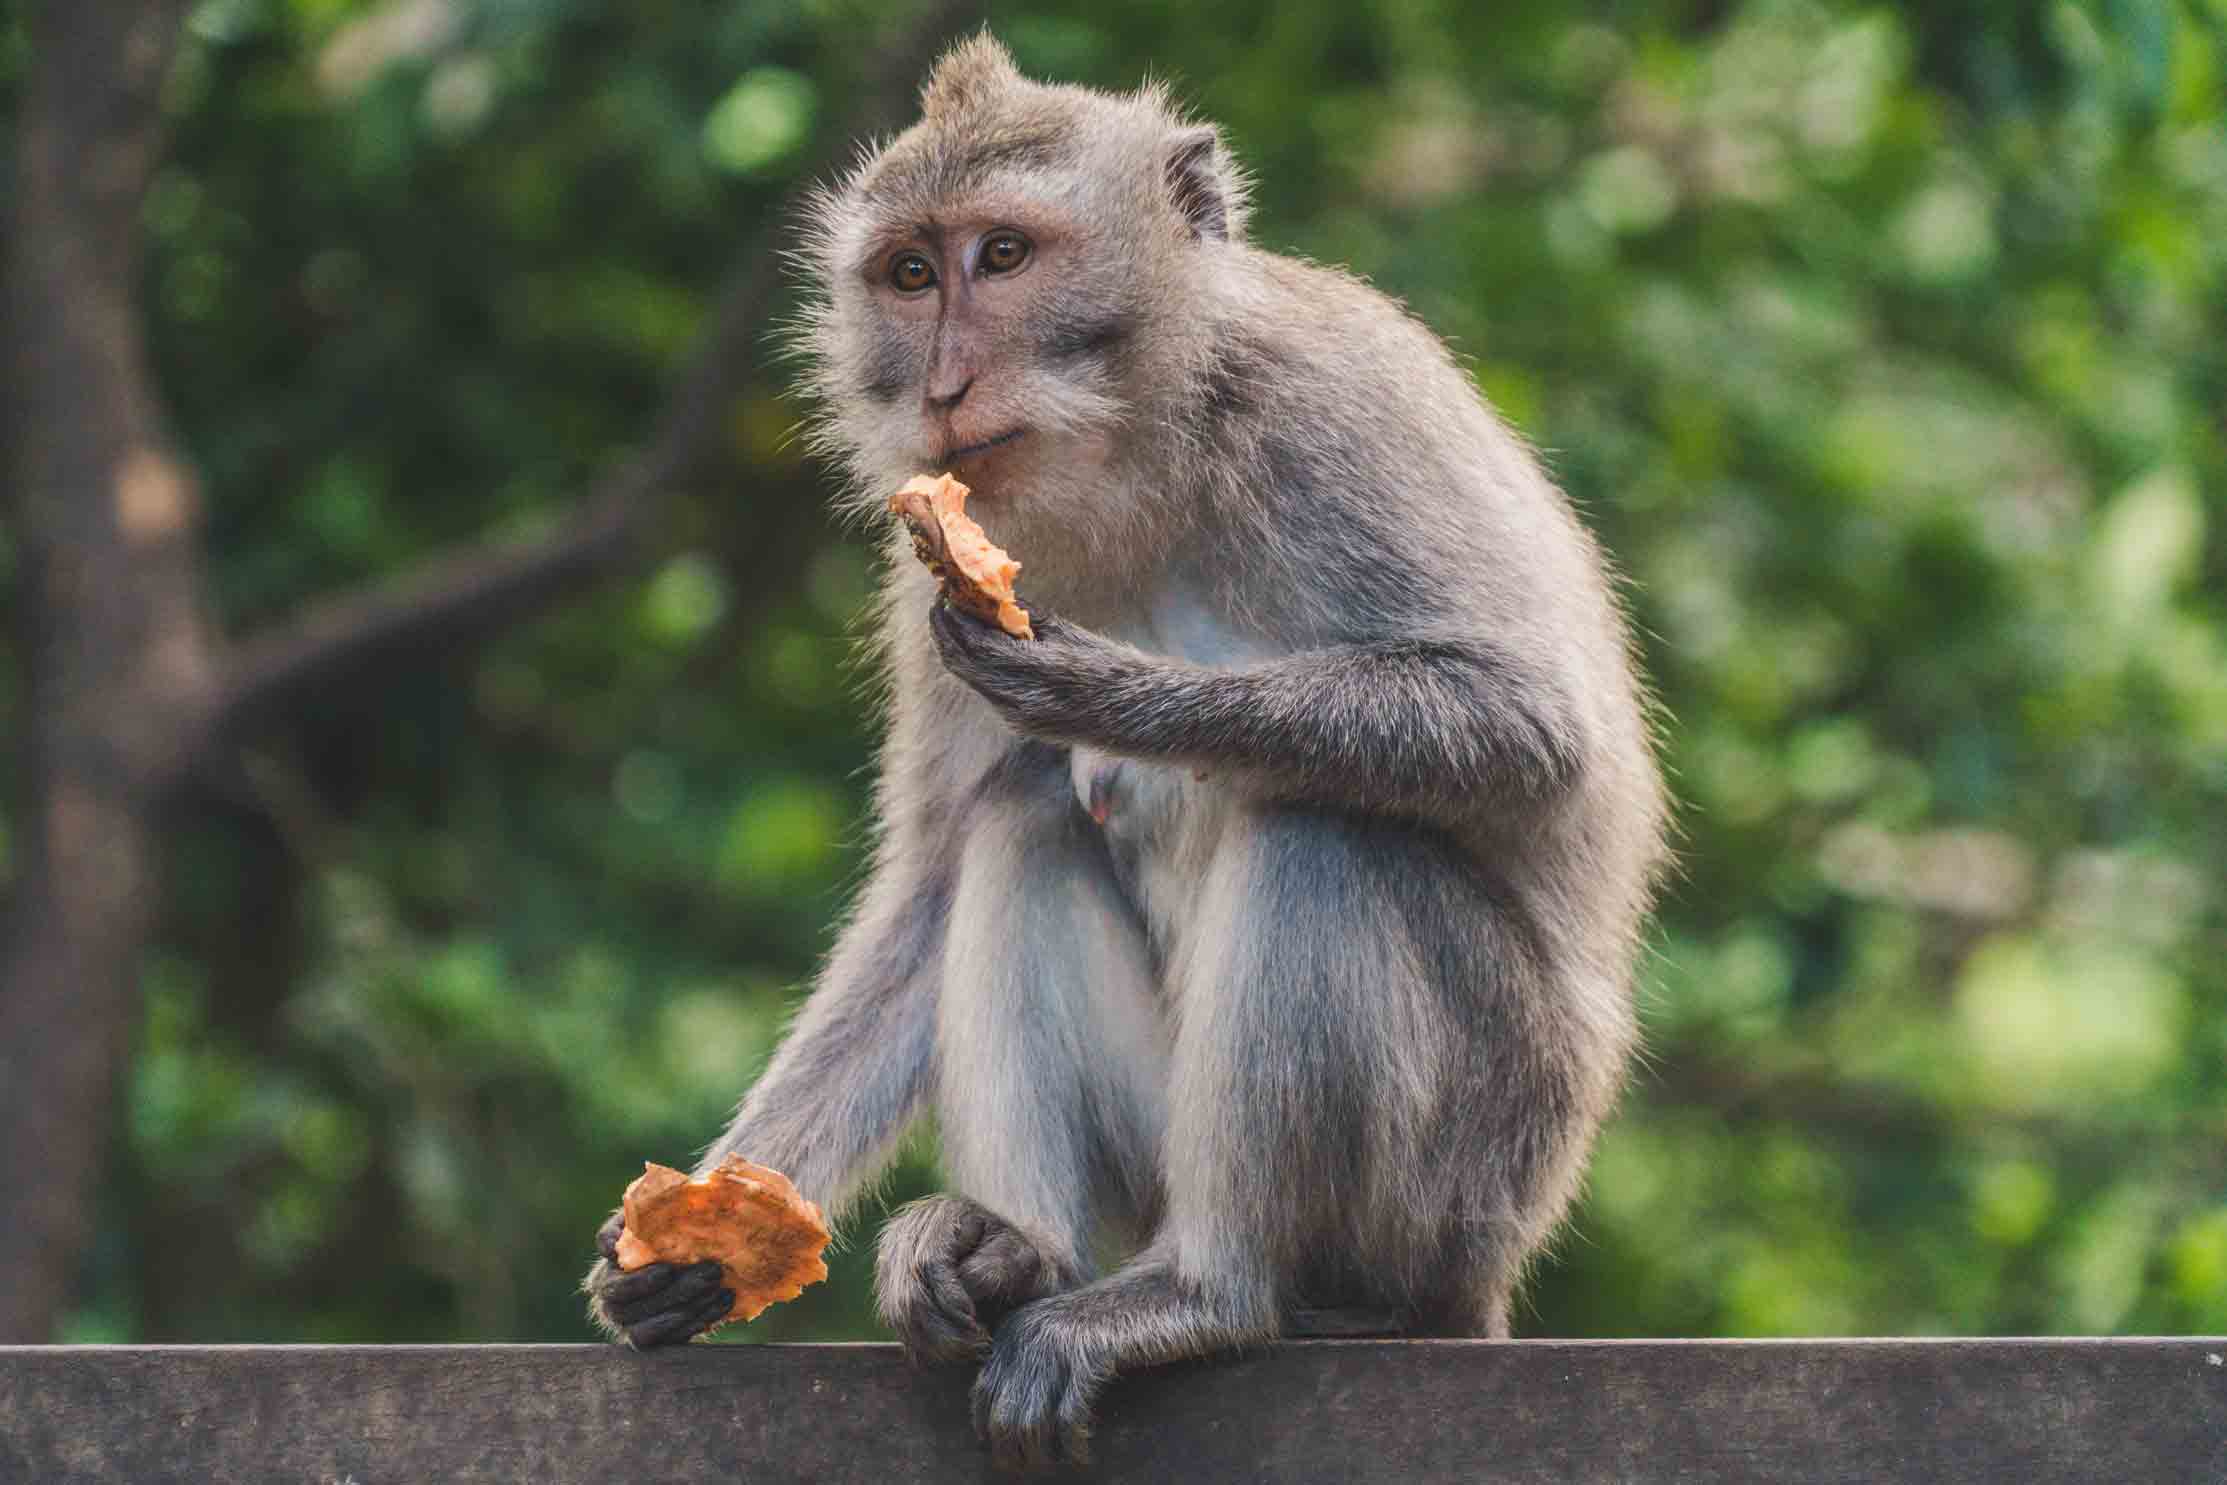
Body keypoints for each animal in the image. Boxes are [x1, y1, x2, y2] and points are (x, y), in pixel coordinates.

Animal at [583, 34, 1665, 1478]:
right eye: (910, 275)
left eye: (1001, 256)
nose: (941, 385)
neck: (1141, 445)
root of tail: (1488, 1275)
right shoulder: (927, 558)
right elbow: (933, 881)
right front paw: (708, 1227)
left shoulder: (1329, 408)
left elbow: (1533, 728)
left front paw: (1104, 691)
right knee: (1020, 821)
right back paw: (1012, 1253)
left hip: (1463, 1175)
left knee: (1317, 830)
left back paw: (1205, 1296)